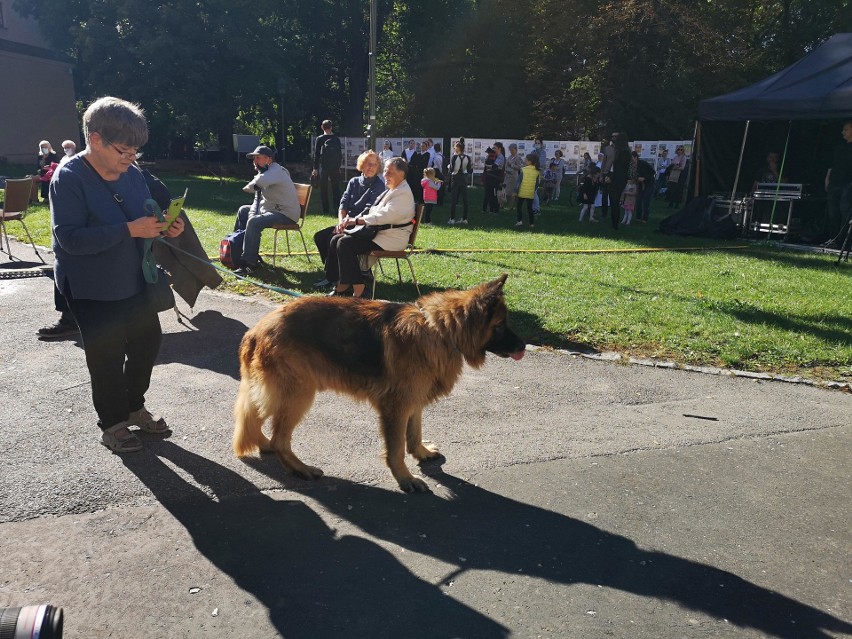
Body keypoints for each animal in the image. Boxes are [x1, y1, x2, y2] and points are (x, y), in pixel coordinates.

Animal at [235, 276, 524, 496]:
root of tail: (255, 331)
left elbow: (414, 433)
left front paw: (421, 453)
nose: (522, 346)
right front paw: (406, 479)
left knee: (252, 419)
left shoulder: (414, 401)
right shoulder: (396, 408)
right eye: (501, 325)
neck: (438, 330)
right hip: (299, 395)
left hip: (279, 393)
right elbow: (396, 449)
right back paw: (299, 467)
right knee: (279, 438)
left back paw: (265, 445)